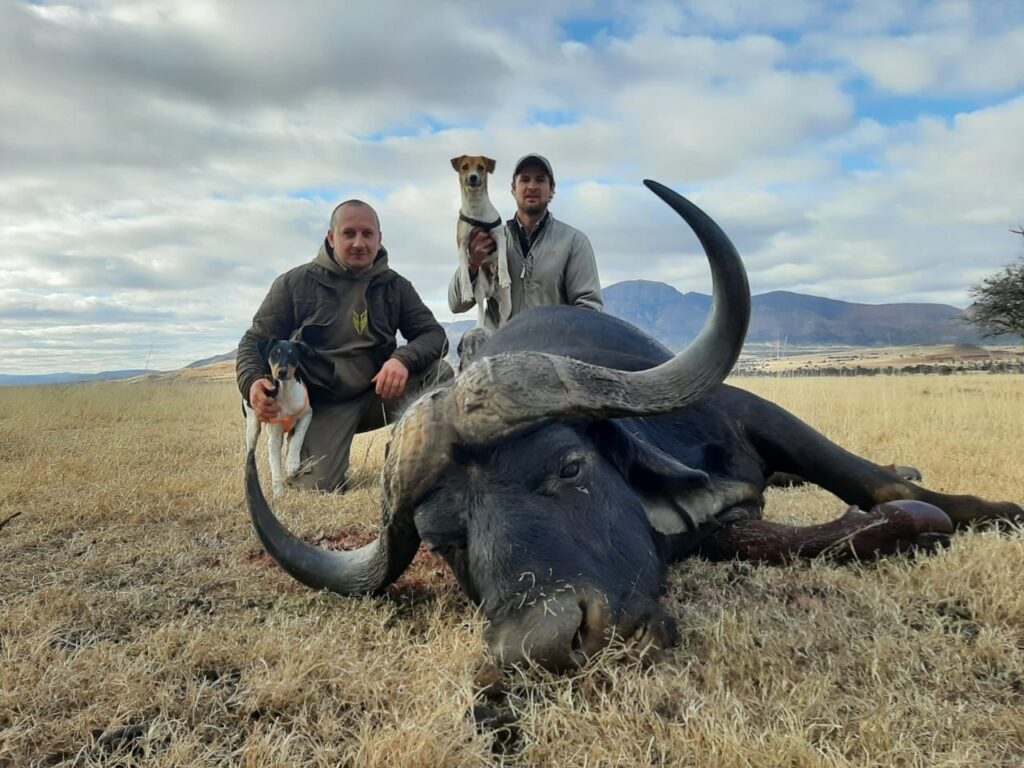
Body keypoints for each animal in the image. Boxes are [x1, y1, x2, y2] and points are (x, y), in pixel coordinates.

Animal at [246, 180, 1022, 673]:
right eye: (444, 540)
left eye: (569, 466)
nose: (546, 647)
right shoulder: (720, 522)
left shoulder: (751, 412)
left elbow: (885, 492)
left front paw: (989, 508)